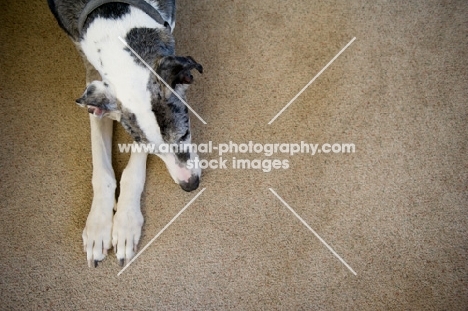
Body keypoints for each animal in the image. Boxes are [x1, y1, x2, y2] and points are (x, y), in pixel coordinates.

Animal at [47, 0, 203, 268]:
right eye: (155, 152)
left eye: (184, 135)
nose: (190, 185)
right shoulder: (93, 83)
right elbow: (102, 167)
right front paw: (99, 225)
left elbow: (132, 172)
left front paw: (125, 223)